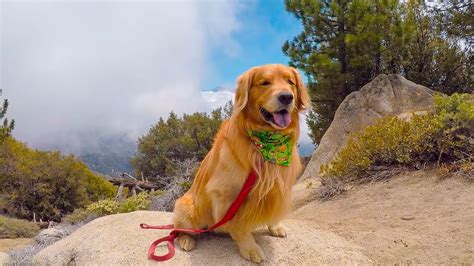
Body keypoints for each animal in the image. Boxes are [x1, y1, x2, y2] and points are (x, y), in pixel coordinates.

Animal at [172, 64, 310, 262]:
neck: (265, 145)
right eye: (264, 83)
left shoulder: (276, 186)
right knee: (180, 229)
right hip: (187, 208)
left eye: (290, 82)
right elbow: (239, 226)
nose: (286, 97)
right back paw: (187, 240)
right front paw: (249, 247)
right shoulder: (227, 194)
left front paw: (275, 226)